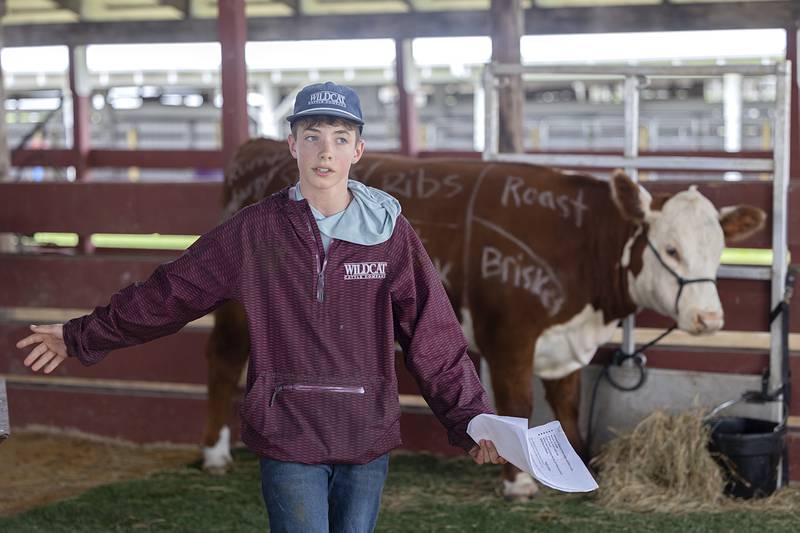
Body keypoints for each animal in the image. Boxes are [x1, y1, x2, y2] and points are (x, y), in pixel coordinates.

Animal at [201, 138, 765, 499]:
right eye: (670, 248)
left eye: (718, 250)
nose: (709, 317)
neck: (578, 243)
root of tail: (258, 151)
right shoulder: (509, 334)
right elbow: (517, 400)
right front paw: (519, 484)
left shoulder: (563, 344)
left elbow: (567, 401)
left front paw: (575, 461)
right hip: (235, 309)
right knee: (222, 362)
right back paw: (215, 454)